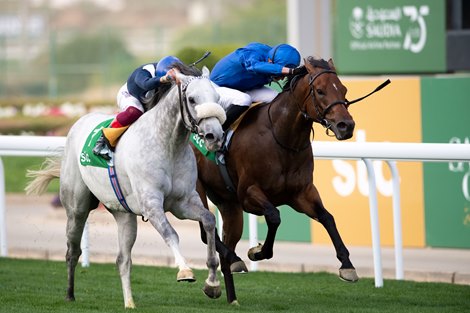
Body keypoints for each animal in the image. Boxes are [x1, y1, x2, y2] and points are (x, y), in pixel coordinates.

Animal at [195, 57, 360, 304]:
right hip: (196, 190)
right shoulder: (248, 193)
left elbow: (327, 218)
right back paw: (235, 260)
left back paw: (227, 292)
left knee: (222, 239)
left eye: (343, 89)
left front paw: (347, 265)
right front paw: (257, 251)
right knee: (207, 230)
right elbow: (274, 216)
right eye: (320, 91)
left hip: (228, 204)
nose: (346, 125)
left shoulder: (301, 193)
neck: (281, 137)